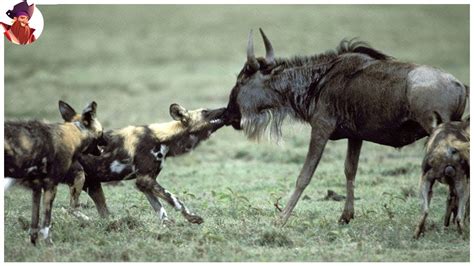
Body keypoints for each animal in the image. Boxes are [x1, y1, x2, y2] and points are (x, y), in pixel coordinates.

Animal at [4, 101, 103, 244]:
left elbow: (34, 223)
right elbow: (46, 223)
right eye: (102, 133)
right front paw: (48, 243)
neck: (75, 133)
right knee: (71, 208)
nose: (107, 140)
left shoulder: (37, 188)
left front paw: (34, 244)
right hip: (79, 177)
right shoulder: (51, 185)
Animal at [69, 104, 227, 224]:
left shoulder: (144, 183)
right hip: (80, 179)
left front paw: (168, 225)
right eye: (205, 112)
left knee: (102, 213)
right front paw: (192, 217)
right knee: (71, 208)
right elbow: (174, 199)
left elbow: (160, 208)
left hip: (93, 185)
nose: (225, 108)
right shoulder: (145, 179)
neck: (163, 138)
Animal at [224, 28, 468, 227]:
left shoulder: (321, 128)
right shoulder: (355, 136)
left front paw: (281, 218)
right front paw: (346, 216)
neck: (318, 81)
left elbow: (305, 175)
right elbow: (350, 170)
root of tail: (459, 86)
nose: (229, 114)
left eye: (241, 81)